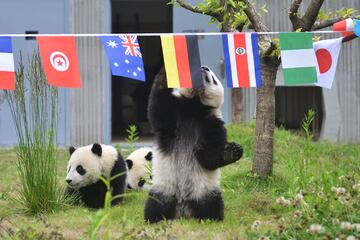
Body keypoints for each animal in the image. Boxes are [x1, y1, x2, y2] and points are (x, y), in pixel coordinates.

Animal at [145, 66, 243, 223]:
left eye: (213, 78)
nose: (204, 68)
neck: (194, 106)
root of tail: (183, 210)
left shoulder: (212, 123)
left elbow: (210, 155)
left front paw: (232, 151)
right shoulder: (174, 112)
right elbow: (158, 108)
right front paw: (166, 71)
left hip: (205, 191)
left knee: (213, 205)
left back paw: (210, 219)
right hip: (164, 188)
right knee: (155, 204)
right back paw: (155, 219)